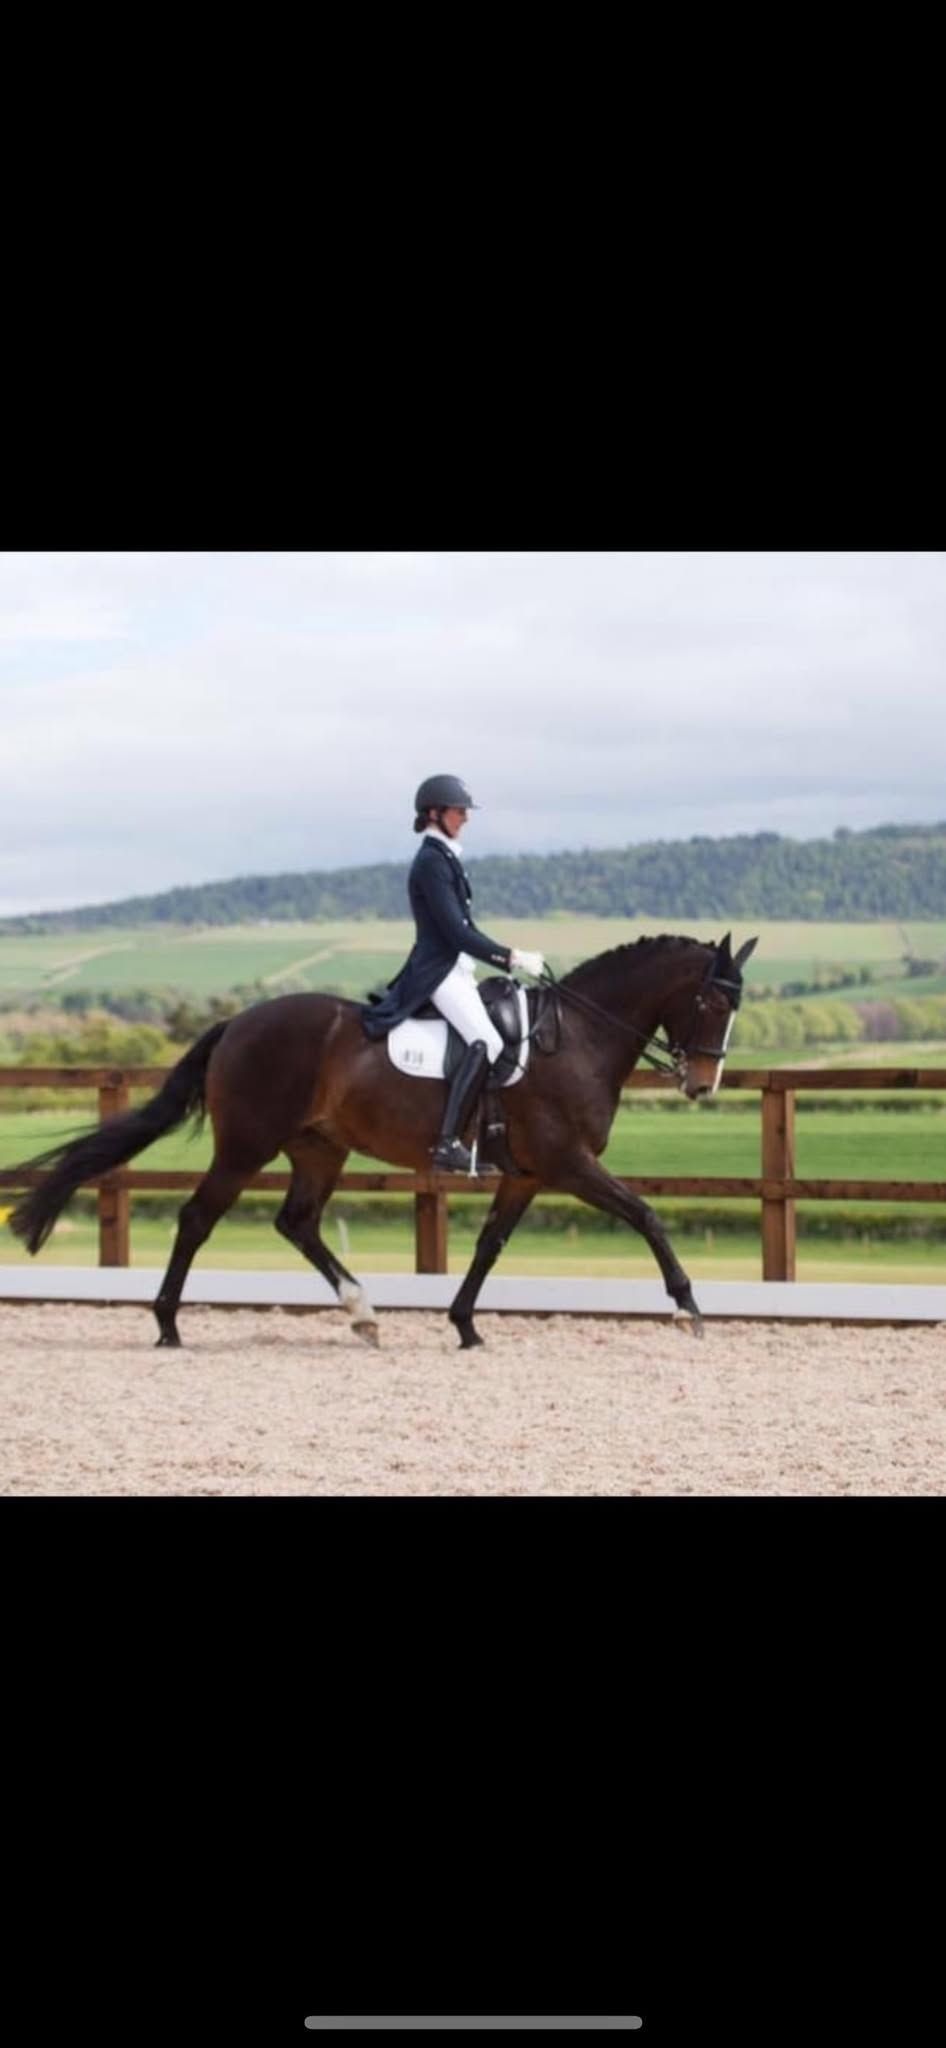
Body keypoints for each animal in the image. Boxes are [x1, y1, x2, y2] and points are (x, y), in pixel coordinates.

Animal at [7, 925, 757, 1343]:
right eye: (709, 1000)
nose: (702, 1085)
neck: (576, 1040)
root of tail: (240, 1022)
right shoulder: (567, 1164)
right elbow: (647, 1213)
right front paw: (688, 1307)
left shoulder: (527, 1175)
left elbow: (489, 1245)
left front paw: (465, 1325)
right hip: (247, 1145)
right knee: (197, 1218)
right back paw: (167, 1324)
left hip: (320, 1147)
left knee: (298, 1222)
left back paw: (362, 1312)